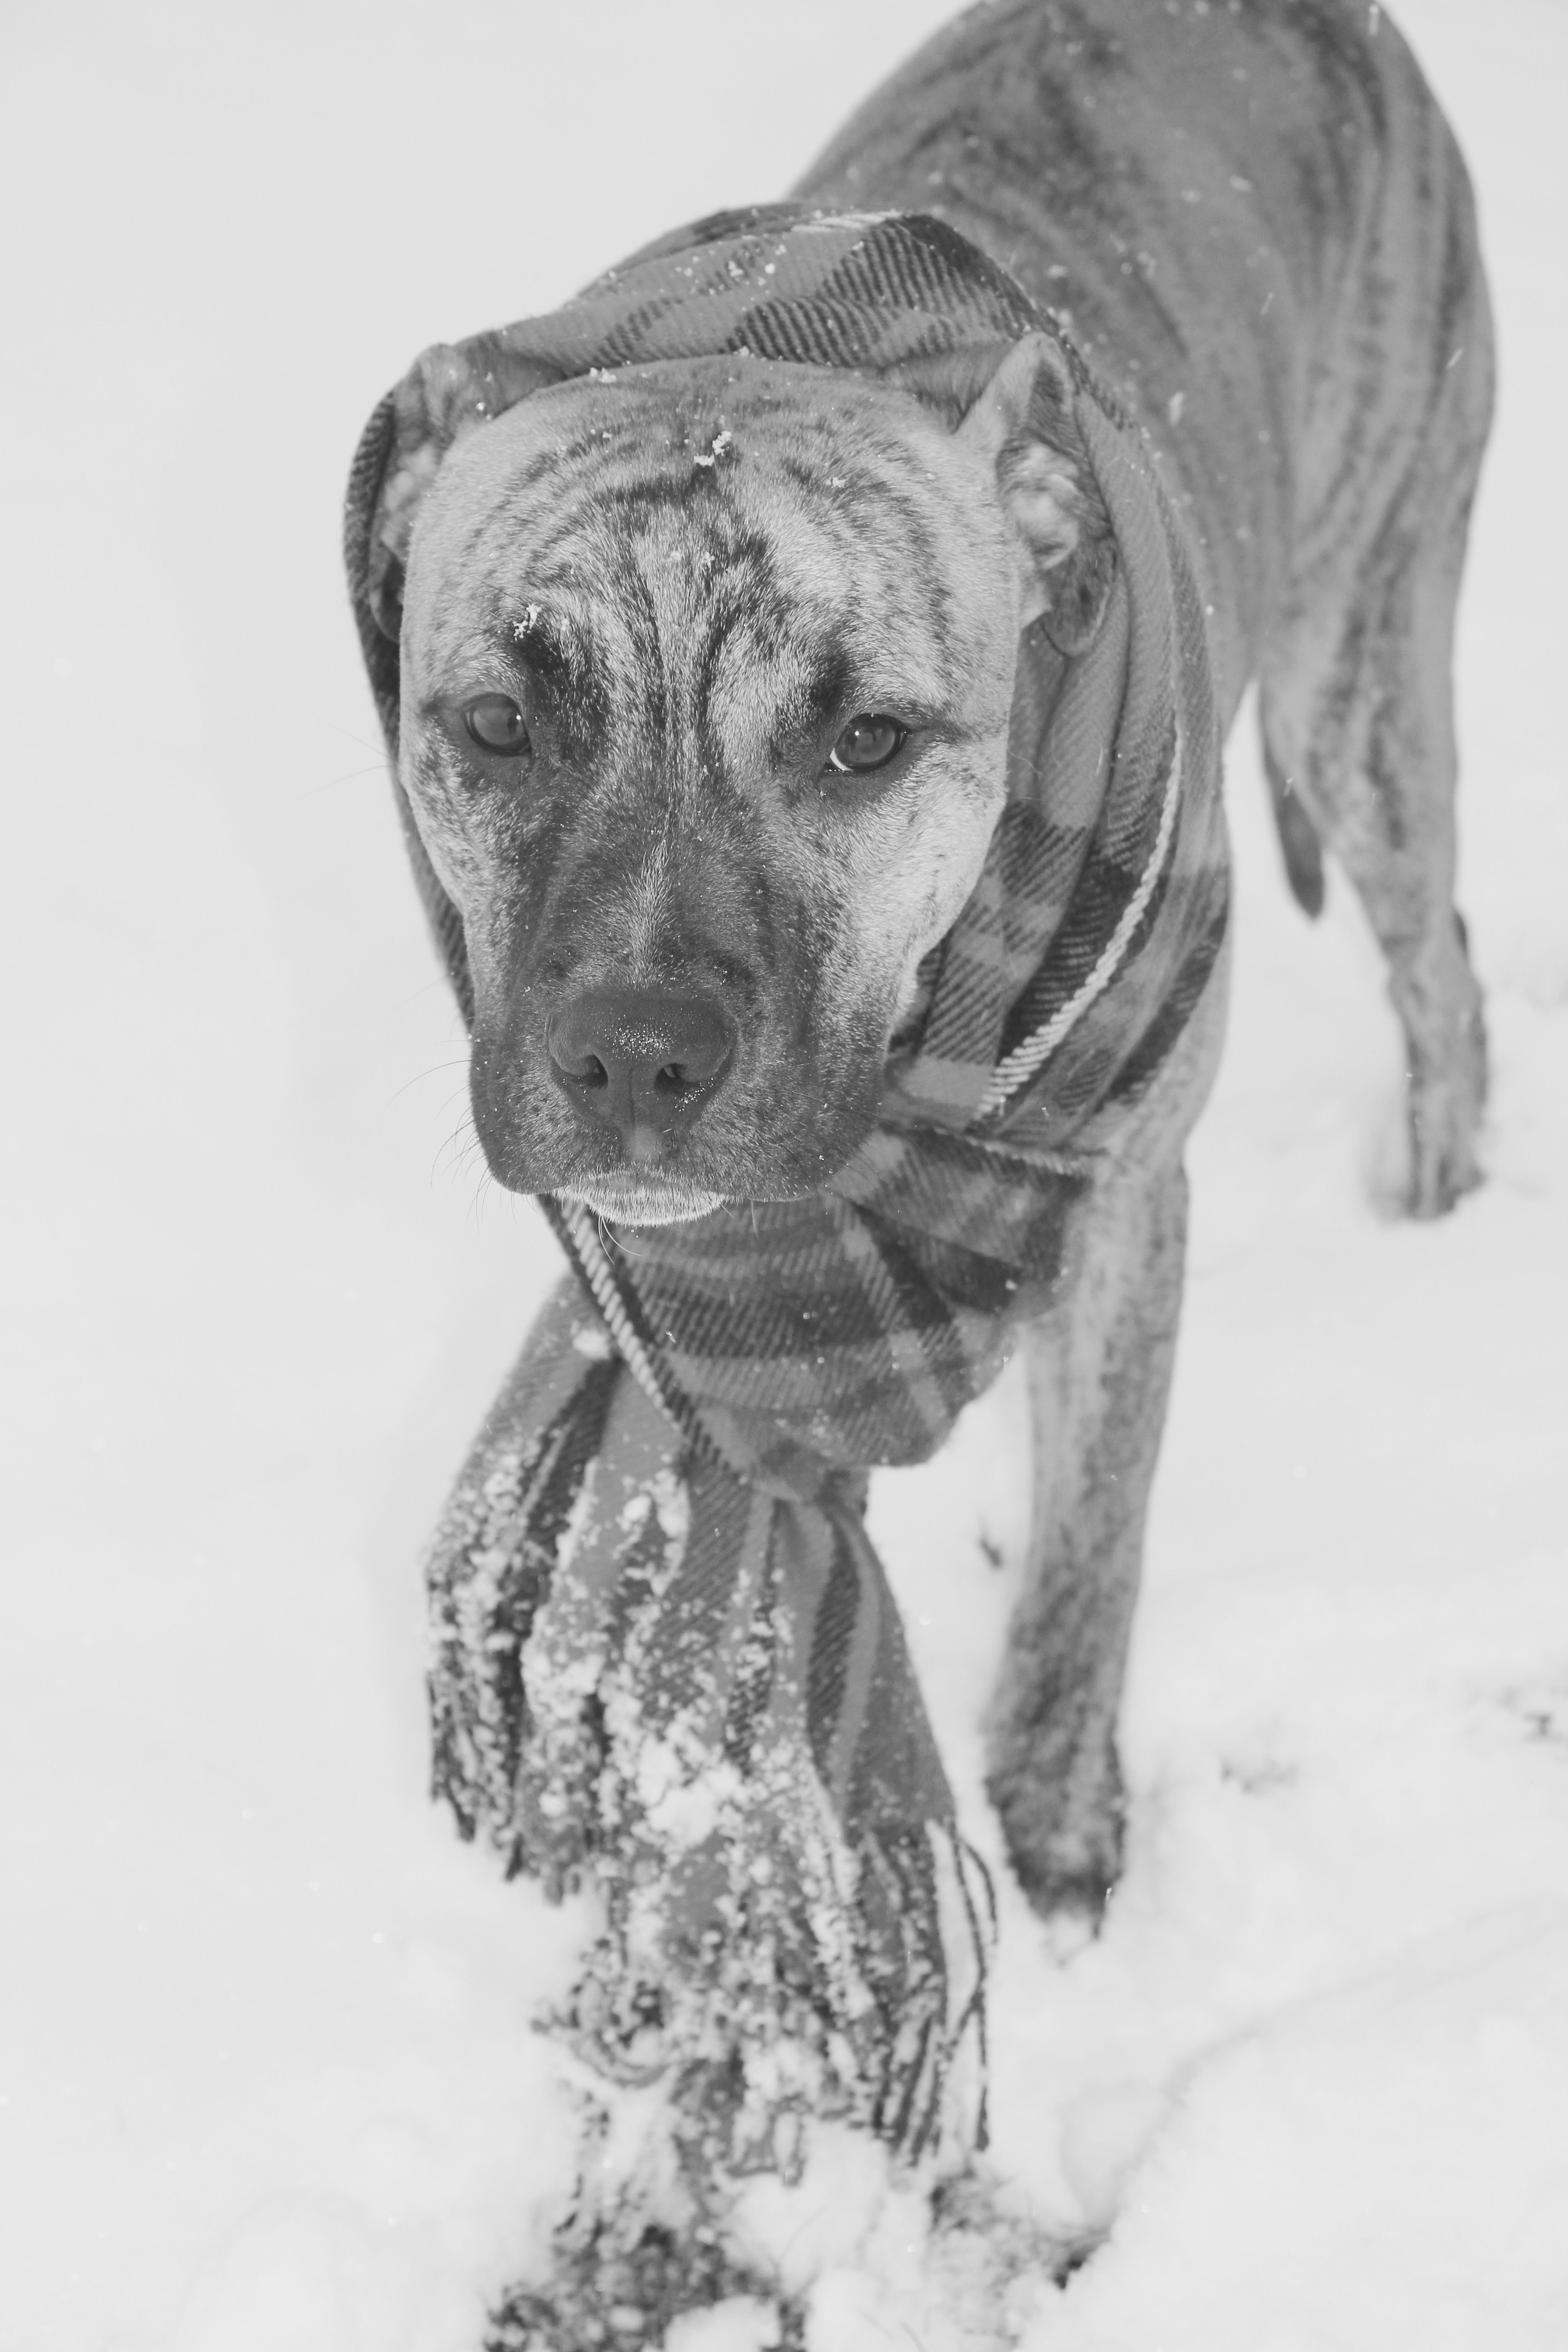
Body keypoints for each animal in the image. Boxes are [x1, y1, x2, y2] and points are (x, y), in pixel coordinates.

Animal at [350, 0, 1495, 2314]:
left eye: (865, 738)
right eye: (496, 722)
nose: (632, 1052)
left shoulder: (1122, 1198)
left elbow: (1083, 1575)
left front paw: (1056, 1868)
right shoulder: (680, 1334)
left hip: (1368, 683)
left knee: (1447, 981)